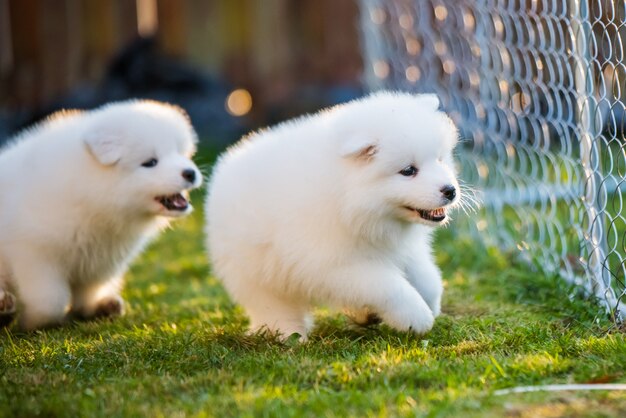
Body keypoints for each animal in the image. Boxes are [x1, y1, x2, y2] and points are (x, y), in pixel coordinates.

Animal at [0, 100, 201, 330]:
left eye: (179, 152)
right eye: (150, 162)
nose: (190, 173)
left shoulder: (101, 258)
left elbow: (90, 288)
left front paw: (95, 307)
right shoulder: (34, 254)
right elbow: (50, 300)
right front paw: (32, 322)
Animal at [205, 91, 458, 340]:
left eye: (439, 159)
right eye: (408, 171)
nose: (450, 190)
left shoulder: (399, 246)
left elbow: (426, 276)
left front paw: (431, 303)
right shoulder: (337, 265)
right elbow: (388, 285)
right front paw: (416, 317)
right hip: (256, 272)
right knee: (272, 305)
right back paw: (289, 334)